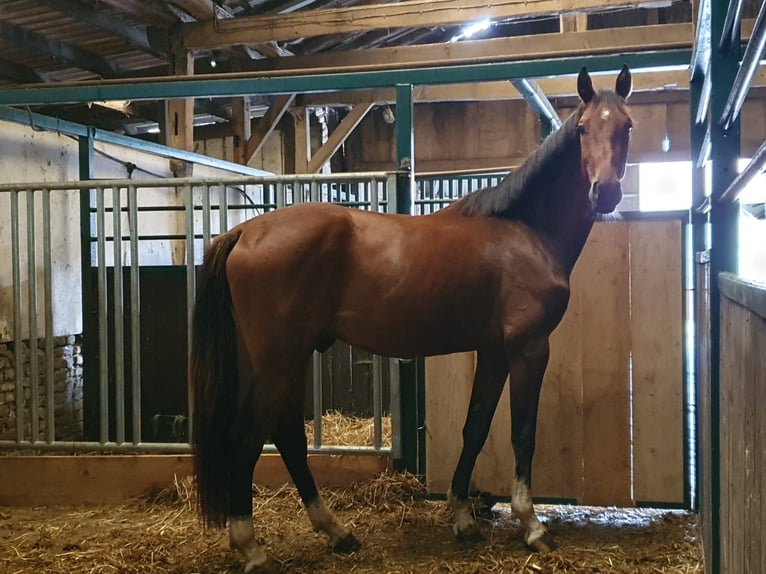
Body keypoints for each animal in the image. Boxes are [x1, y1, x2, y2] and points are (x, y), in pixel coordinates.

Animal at [192, 66, 636, 572]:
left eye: (626, 127)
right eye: (582, 129)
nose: (606, 192)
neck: (525, 230)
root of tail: (245, 231)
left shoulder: (494, 349)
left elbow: (475, 427)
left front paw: (463, 518)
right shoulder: (528, 347)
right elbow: (523, 432)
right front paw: (532, 526)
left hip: (284, 359)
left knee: (286, 434)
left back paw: (336, 532)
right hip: (277, 359)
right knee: (249, 436)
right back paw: (252, 547)